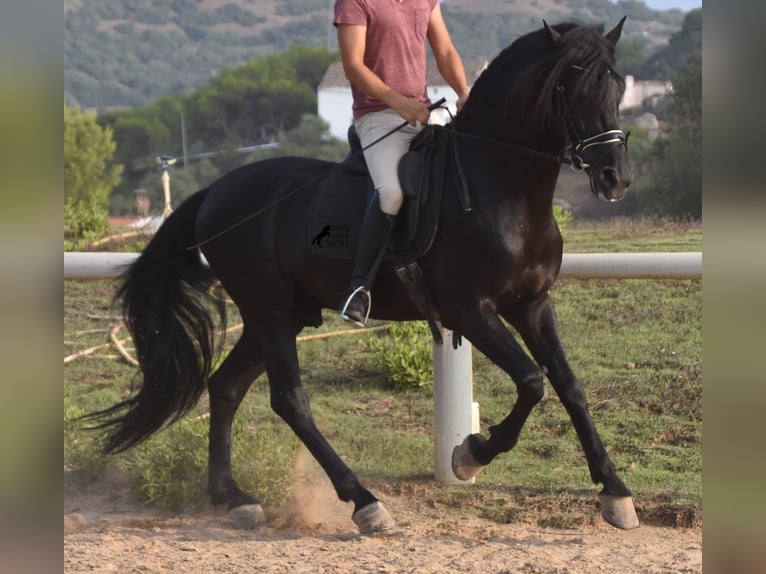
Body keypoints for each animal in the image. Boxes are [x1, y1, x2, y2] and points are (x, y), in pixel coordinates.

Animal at [88, 21, 640, 536]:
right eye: (576, 89)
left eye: (617, 88)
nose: (616, 179)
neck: (501, 187)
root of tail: (215, 192)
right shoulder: (470, 310)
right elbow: (531, 382)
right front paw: (470, 454)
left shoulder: (532, 304)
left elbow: (568, 385)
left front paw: (614, 491)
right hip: (269, 310)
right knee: (290, 401)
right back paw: (363, 502)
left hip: (282, 315)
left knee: (226, 387)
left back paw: (233, 498)